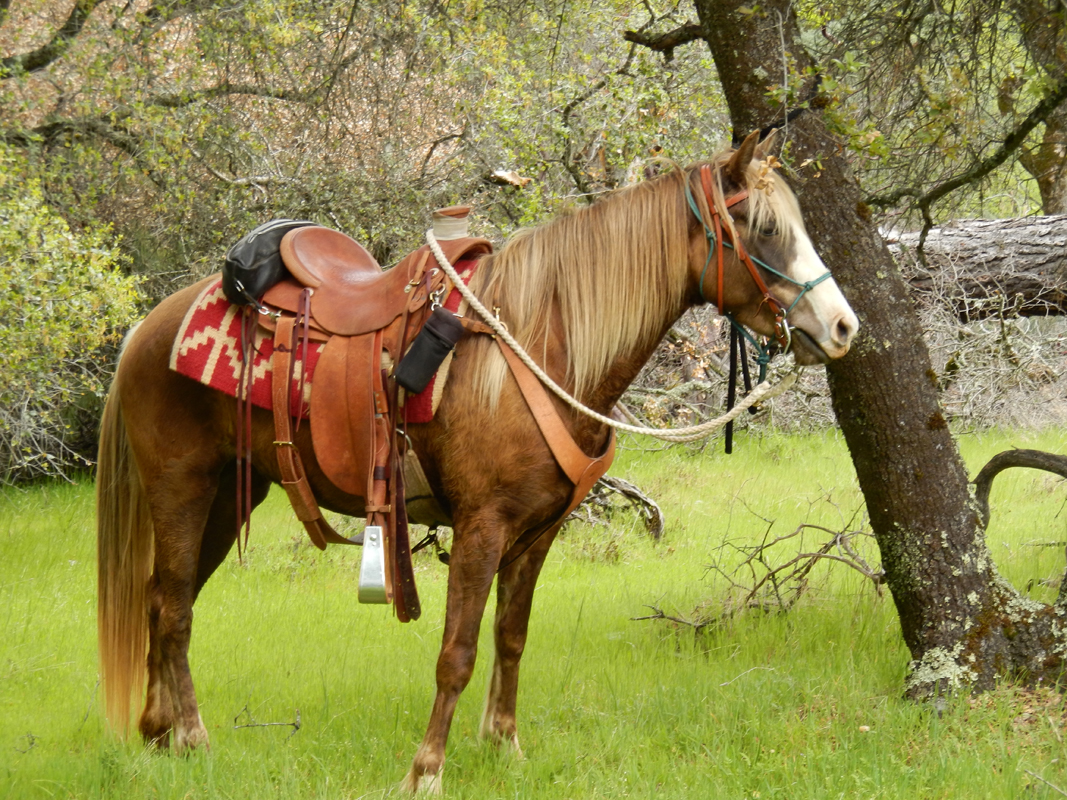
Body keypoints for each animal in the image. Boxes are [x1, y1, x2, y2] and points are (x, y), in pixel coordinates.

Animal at [96, 131, 858, 793]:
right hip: (182, 486)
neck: (540, 342)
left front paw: (504, 746)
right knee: (173, 608)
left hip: (231, 494)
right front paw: (426, 771)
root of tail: (148, 328)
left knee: (165, 598)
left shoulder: (538, 532)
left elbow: (510, 637)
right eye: (763, 229)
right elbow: (456, 653)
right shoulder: (481, 527)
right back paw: (191, 737)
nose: (842, 326)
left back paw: (158, 731)